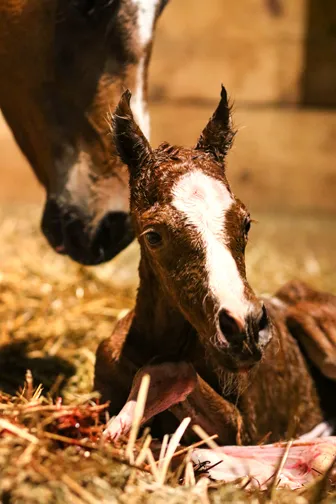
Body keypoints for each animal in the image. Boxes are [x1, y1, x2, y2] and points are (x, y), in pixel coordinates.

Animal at [94, 87, 336, 448]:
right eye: (153, 235)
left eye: (246, 223)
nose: (245, 331)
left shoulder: (242, 430)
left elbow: (168, 370)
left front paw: (125, 420)